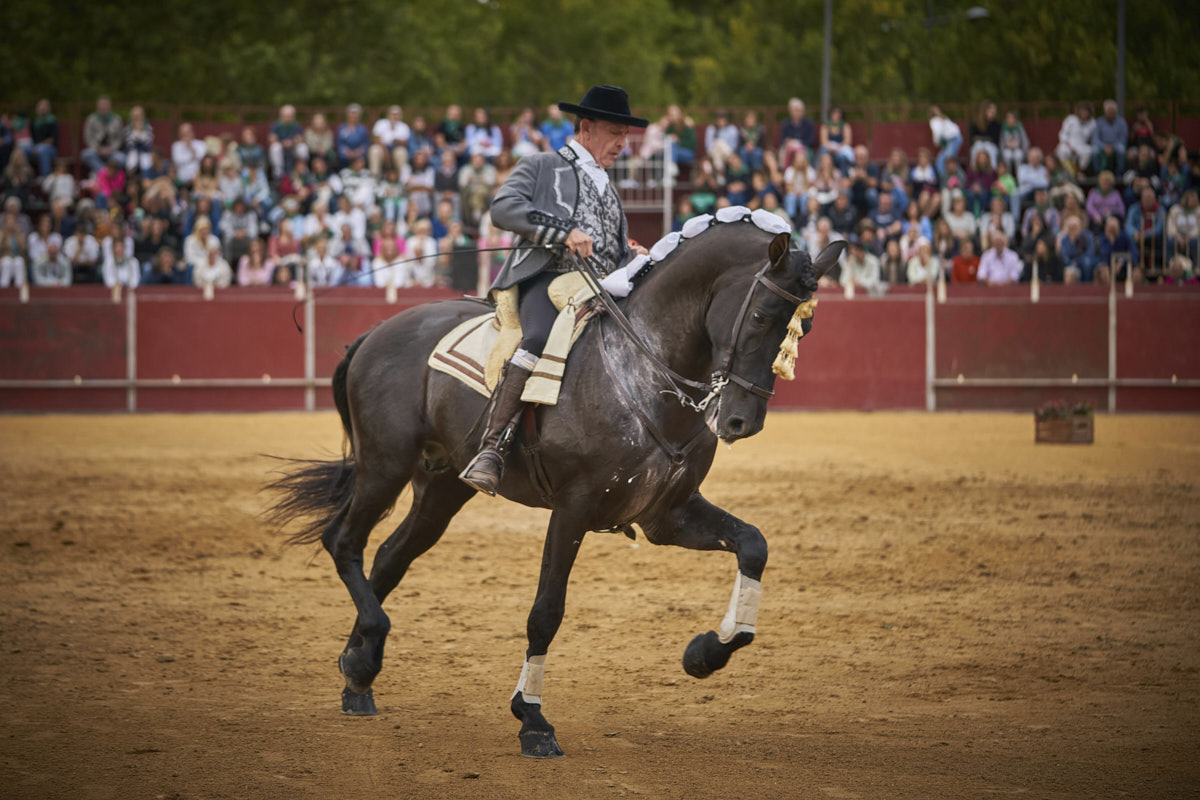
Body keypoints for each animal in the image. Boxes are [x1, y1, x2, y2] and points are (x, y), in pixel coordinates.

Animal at [267, 219, 842, 758]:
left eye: (805, 327)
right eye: (762, 316)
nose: (744, 421)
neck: (644, 369)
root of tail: (376, 333)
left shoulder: (668, 514)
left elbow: (753, 545)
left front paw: (704, 654)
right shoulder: (573, 509)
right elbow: (546, 611)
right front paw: (533, 721)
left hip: (443, 485)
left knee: (389, 556)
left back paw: (358, 671)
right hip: (385, 466)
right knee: (345, 541)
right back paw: (366, 651)